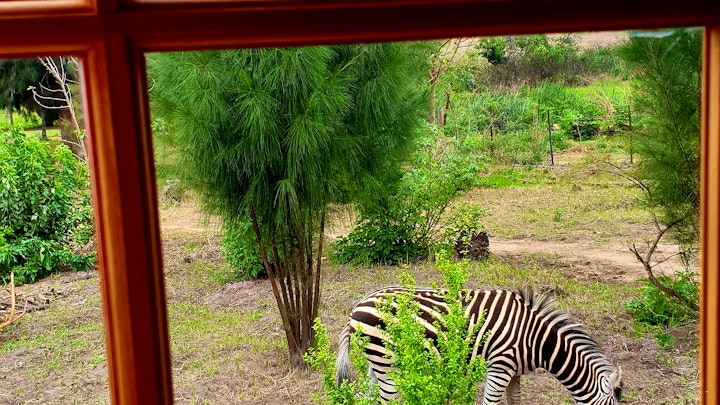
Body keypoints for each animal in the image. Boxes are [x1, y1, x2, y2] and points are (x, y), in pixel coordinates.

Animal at [335, 287, 622, 404]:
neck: (536, 340)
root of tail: (356, 307)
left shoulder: (514, 372)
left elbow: (515, 401)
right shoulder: (500, 368)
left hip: (377, 364)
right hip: (388, 366)